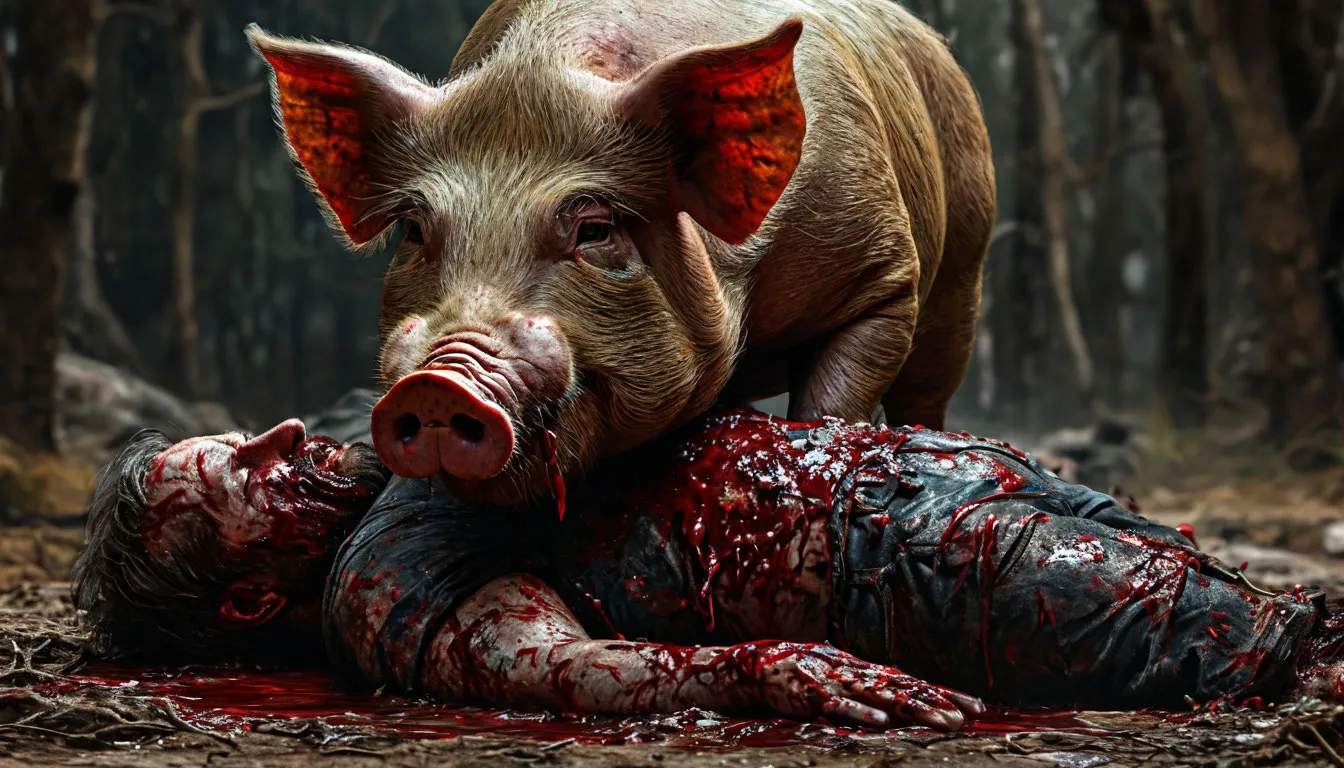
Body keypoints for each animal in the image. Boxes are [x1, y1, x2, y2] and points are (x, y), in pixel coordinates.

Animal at [246, 0, 995, 506]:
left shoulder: (882, 269)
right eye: (413, 230)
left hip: (965, 260)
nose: (438, 379)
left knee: (930, 383)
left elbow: (832, 396)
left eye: (595, 229)